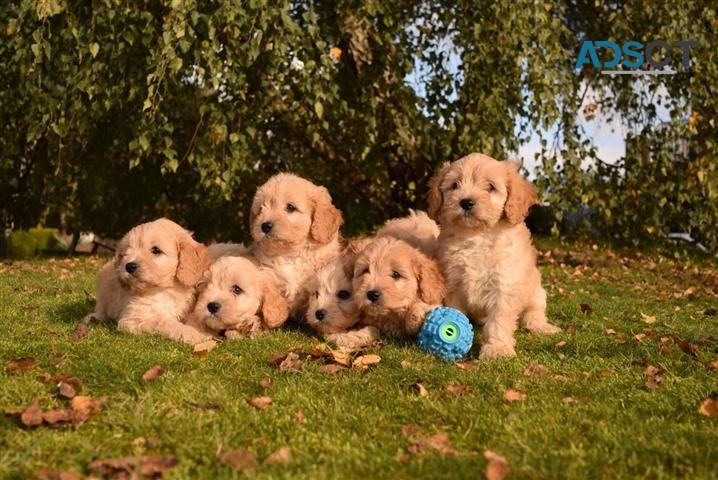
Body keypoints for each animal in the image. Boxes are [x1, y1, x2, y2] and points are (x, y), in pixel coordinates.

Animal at [428, 152, 564, 358]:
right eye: (455, 185)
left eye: (490, 187)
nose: (465, 202)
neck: (477, 235)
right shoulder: (453, 283)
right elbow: (456, 310)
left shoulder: (505, 284)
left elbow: (499, 320)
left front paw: (497, 349)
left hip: (537, 292)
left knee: (533, 313)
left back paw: (542, 327)